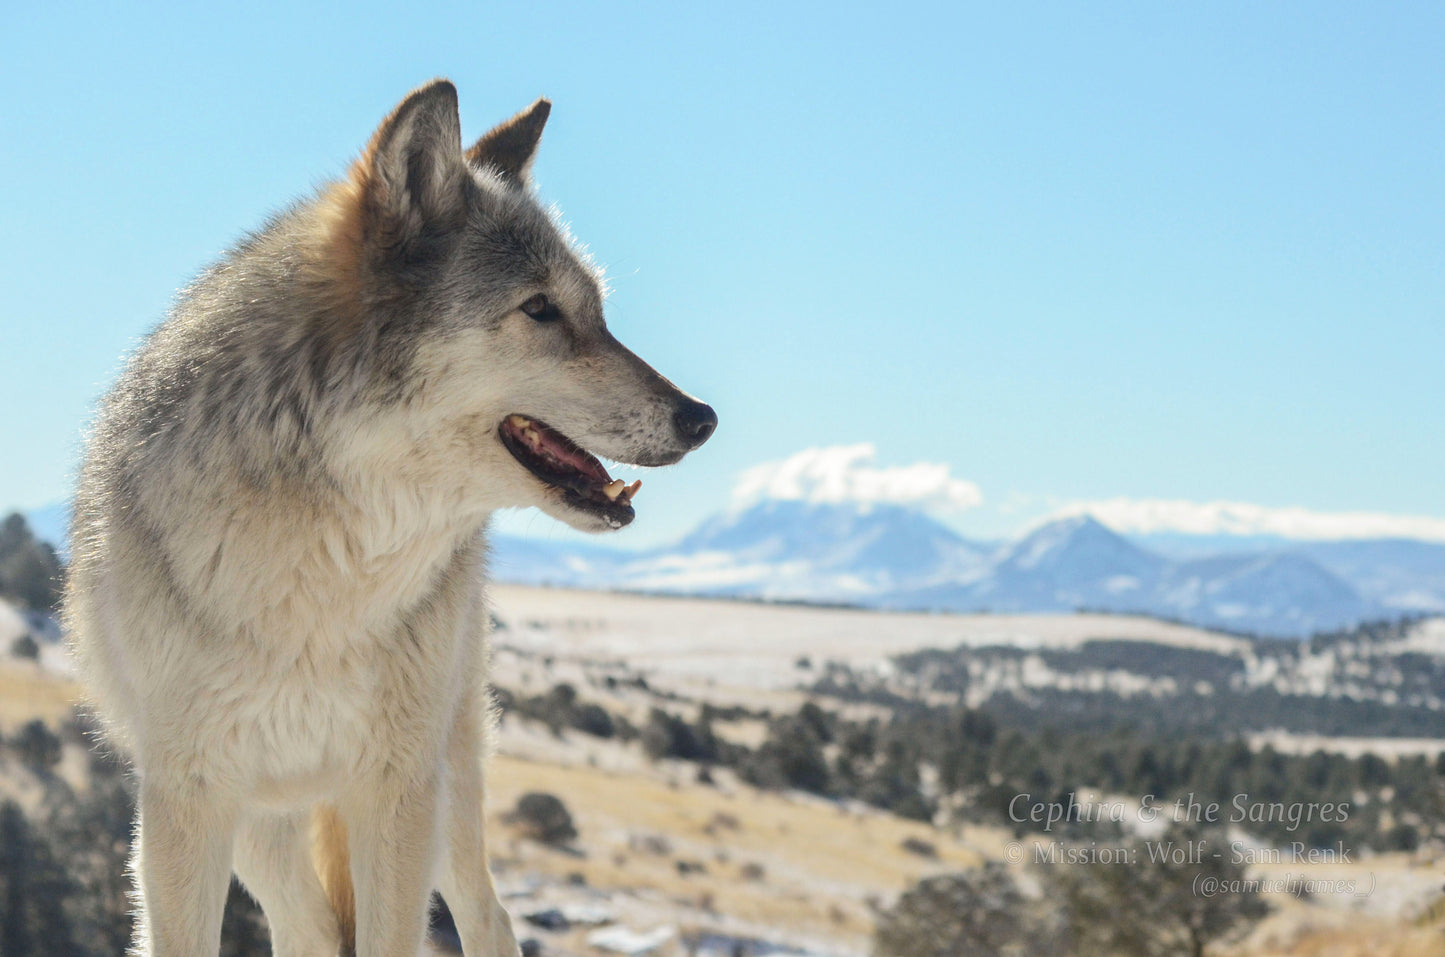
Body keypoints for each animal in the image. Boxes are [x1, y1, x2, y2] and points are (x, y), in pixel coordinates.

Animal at [63, 78, 716, 954]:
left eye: (599, 312)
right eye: (540, 310)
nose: (700, 418)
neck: (323, 577)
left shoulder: (397, 790)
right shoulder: (186, 803)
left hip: (448, 777)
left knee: (486, 911)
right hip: (264, 825)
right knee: (310, 926)